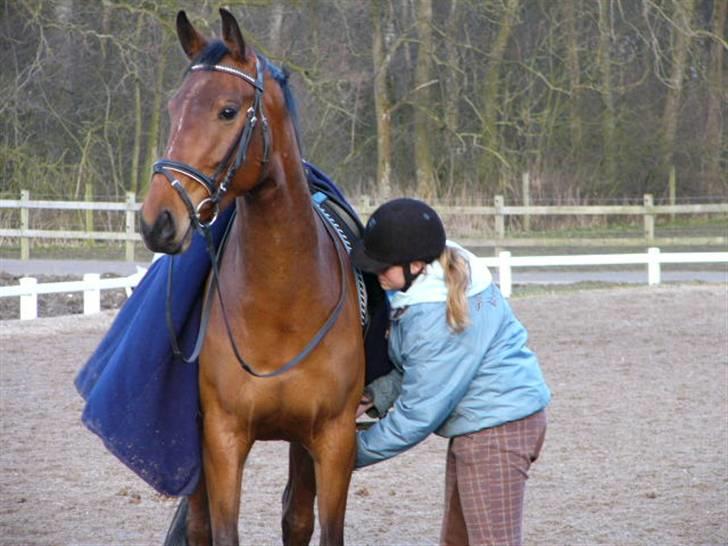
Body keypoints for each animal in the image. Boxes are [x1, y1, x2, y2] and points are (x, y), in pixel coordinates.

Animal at [139, 8, 364, 544]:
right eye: (175, 108)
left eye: (227, 110)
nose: (157, 220)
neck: (281, 305)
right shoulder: (221, 440)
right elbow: (221, 529)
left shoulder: (333, 440)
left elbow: (320, 526)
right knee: (199, 525)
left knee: (296, 516)